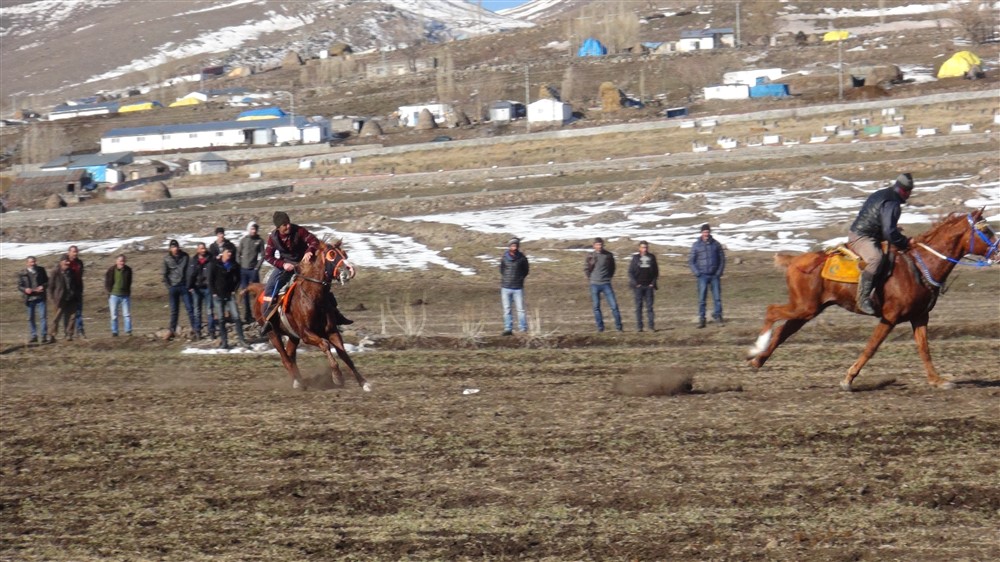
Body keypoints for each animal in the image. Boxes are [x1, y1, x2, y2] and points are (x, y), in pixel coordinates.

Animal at [246, 240, 372, 390]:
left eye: (344, 253)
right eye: (332, 254)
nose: (349, 270)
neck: (314, 298)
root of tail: (259, 289)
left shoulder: (332, 331)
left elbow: (344, 355)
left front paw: (363, 382)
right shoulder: (306, 334)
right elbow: (325, 344)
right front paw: (337, 376)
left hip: (293, 336)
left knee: (290, 354)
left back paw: (298, 381)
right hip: (273, 334)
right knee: (285, 358)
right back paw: (299, 382)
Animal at [748, 210, 996, 390]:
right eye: (985, 230)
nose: (998, 250)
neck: (920, 264)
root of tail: (794, 260)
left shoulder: (920, 316)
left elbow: (924, 348)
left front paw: (938, 380)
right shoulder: (890, 317)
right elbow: (871, 347)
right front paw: (848, 379)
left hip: (808, 309)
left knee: (783, 332)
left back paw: (758, 361)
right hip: (804, 307)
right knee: (771, 311)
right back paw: (756, 350)